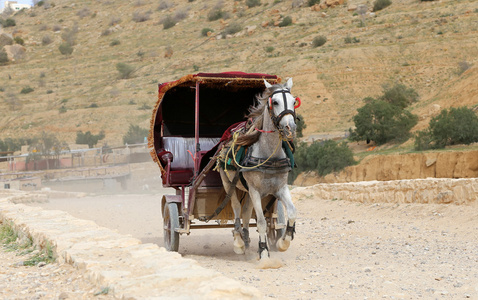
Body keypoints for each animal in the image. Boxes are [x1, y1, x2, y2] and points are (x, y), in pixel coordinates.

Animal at [220, 78, 298, 260]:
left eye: (293, 101)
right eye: (275, 102)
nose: (290, 128)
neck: (269, 154)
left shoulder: (280, 188)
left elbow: (291, 212)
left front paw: (284, 241)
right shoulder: (255, 190)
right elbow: (262, 222)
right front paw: (263, 251)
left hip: (248, 191)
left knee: (246, 211)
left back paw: (246, 238)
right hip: (229, 184)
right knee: (236, 208)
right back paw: (239, 242)